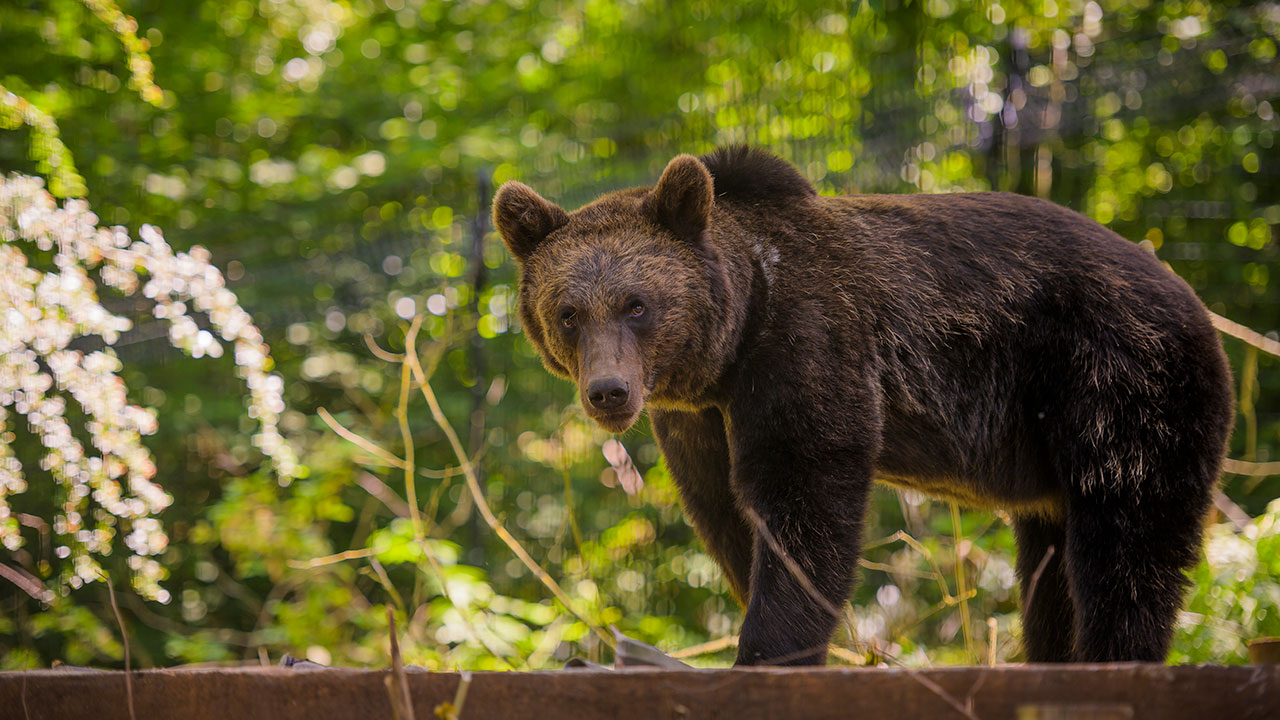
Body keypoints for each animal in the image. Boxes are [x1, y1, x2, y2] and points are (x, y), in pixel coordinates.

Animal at [488, 144, 1228, 661]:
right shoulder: (694, 417)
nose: (608, 391)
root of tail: (1193, 296)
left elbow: (805, 493)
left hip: (1115, 380)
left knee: (1125, 542)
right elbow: (724, 513)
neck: (731, 342)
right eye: (568, 312)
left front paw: (772, 648)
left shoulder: (808, 340)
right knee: (1052, 573)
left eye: (636, 304)